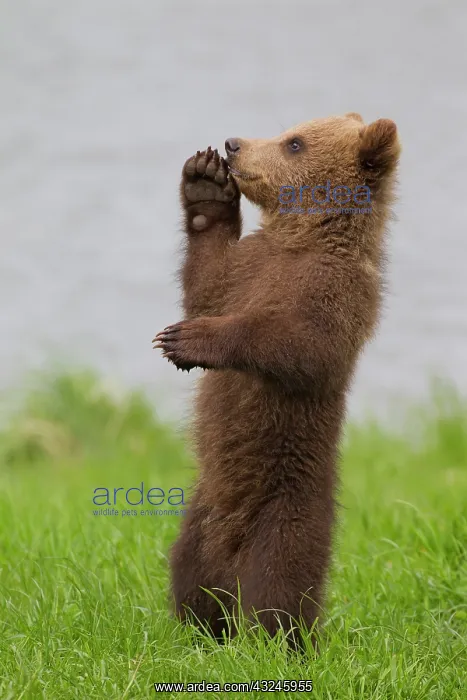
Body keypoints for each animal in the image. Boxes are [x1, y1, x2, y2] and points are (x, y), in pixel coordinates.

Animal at [153, 112, 401, 645]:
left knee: (278, 593)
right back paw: (199, 631)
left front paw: (189, 340)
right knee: (190, 578)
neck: (300, 240)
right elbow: (207, 286)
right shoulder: (246, 269)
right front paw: (206, 184)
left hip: (286, 516)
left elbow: (300, 345)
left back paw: (274, 641)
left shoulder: (335, 291)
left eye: (295, 142)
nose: (233, 144)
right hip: (197, 521)